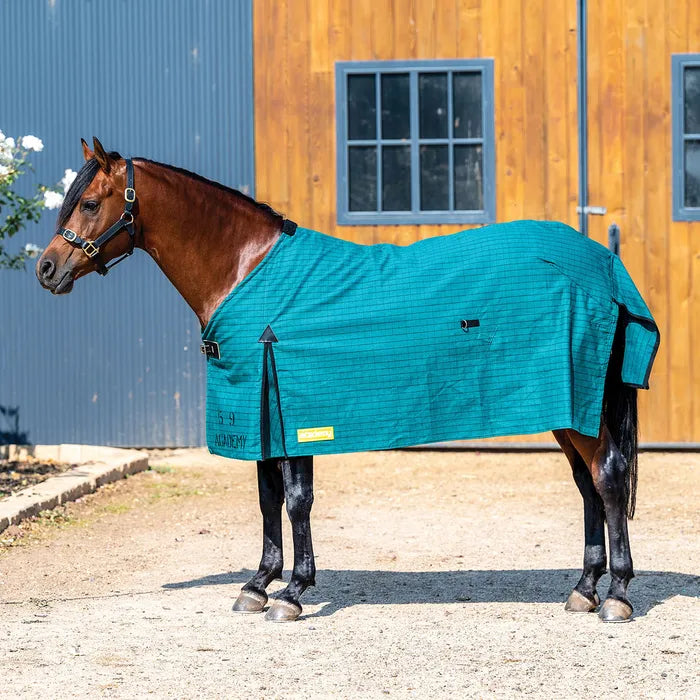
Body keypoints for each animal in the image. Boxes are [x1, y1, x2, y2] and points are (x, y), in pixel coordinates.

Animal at [36, 138, 658, 623]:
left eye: (88, 202)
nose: (46, 270)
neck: (246, 271)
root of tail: (604, 265)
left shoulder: (291, 407)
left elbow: (295, 502)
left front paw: (292, 592)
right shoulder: (264, 416)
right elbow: (268, 500)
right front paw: (258, 586)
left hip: (580, 409)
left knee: (607, 477)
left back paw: (616, 596)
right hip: (569, 408)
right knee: (588, 485)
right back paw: (582, 590)